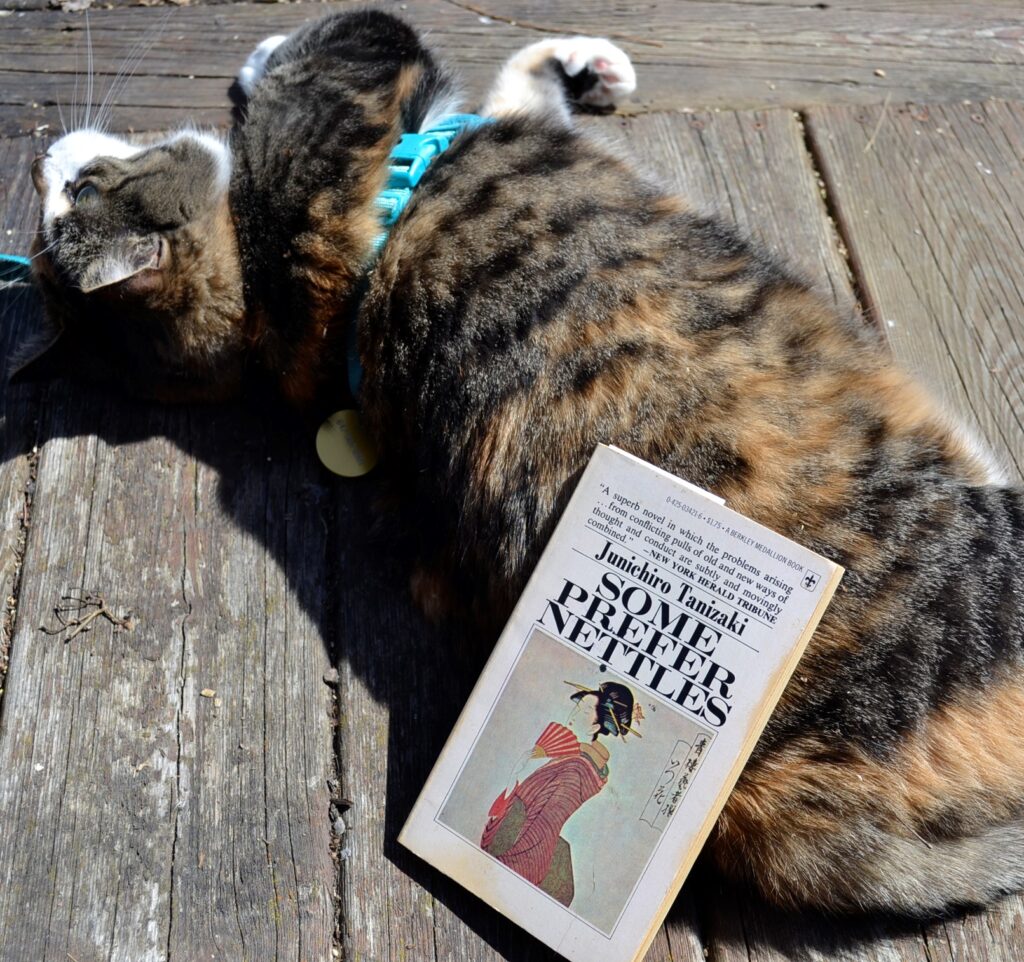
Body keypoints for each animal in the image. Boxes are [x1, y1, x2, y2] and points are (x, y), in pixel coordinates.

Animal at [14, 9, 1024, 926]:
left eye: (81, 188)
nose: (38, 159)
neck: (266, 298)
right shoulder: (346, 79)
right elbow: (333, 37)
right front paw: (262, 55)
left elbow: (509, 83)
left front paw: (580, 63)